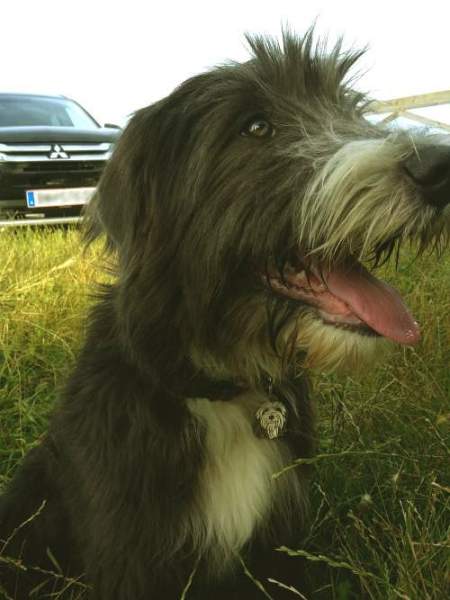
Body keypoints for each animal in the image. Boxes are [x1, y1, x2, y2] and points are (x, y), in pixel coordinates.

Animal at [0, 29, 450, 600]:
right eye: (255, 127)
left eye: (346, 105)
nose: (438, 167)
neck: (221, 388)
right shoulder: (131, 551)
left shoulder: (275, 550)